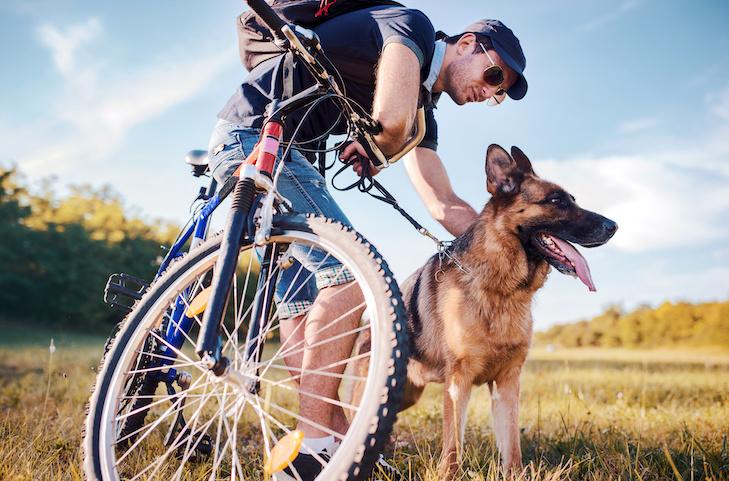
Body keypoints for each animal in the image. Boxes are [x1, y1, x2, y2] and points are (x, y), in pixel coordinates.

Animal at [352, 142, 616, 476]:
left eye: (572, 200)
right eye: (556, 200)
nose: (614, 226)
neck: (502, 290)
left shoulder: (507, 383)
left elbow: (512, 445)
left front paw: (514, 475)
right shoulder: (458, 383)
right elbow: (453, 444)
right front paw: (447, 475)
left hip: (406, 395)